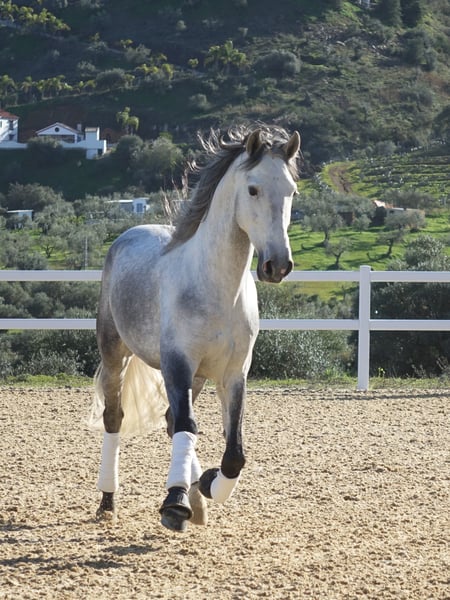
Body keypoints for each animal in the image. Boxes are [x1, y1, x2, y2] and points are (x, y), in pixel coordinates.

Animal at [90, 123, 301, 532]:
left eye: (291, 192)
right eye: (253, 188)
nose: (278, 265)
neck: (215, 289)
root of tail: (127, 235)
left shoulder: (233, 374)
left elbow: (233, 451)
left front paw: (205, 486)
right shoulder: (177, 363)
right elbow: (189, 425)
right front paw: (175, 504)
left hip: (199, 378)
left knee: (172, 421)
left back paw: (195, 498)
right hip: (114, 353)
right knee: (116, 417)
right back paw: (108, 501)